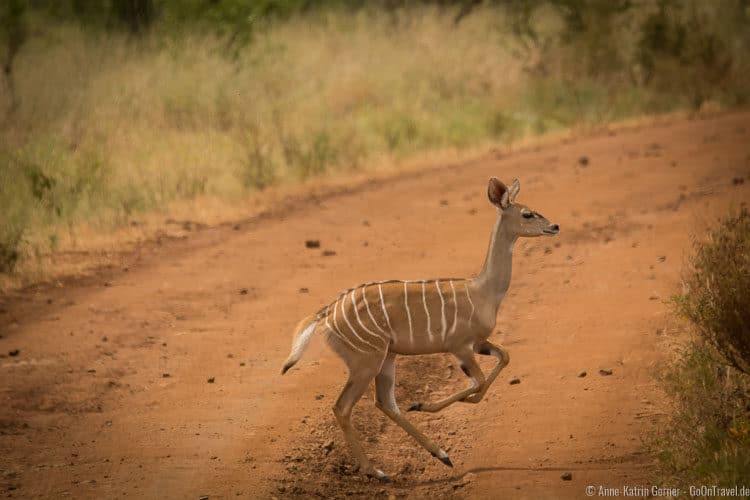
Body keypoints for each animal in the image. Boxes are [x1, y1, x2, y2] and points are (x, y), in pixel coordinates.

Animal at [284, 178, 560, 482]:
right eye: (527, 214)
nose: (554, 226)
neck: (483, 291)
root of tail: (327, 313)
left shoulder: (479, 343)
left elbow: (503, 358)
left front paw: (444, 405)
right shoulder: (460, 346)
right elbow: (478, 379)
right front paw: (426, 406)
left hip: (387, 357)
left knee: (385, 402)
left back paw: (442, 455)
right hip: (366, 361)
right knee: (343, 407)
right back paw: (377, 471)